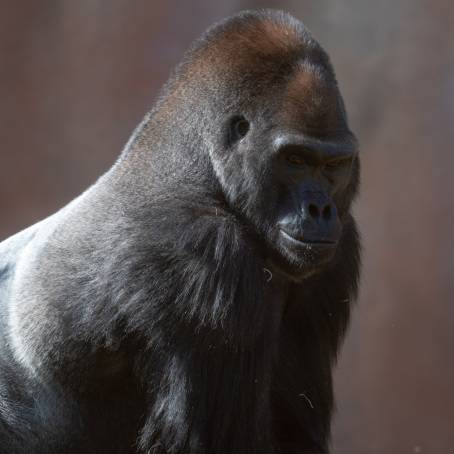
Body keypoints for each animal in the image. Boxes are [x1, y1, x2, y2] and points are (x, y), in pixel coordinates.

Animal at [0, 9, 362, 454]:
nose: (321, 210)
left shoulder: (336, 253)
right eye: (294, 160)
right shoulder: (204, 252)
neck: (204, 169)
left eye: (334, 165)